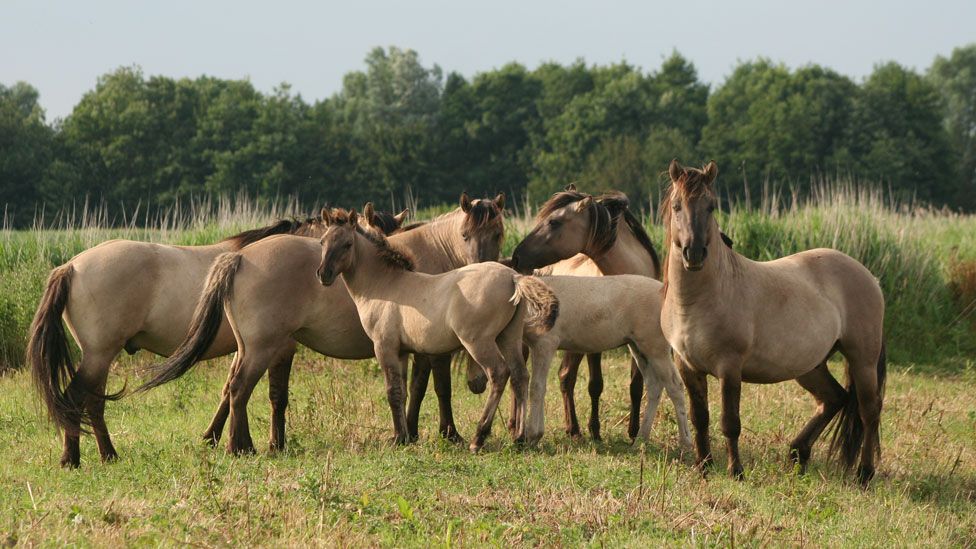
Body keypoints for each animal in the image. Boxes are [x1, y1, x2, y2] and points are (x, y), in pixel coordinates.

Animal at [28, 209, 406, 466]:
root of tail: (71, 266)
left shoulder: (248, 347)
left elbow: (228, 392)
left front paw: (213, 438)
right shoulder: (279, 346)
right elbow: (273, 396)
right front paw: (267, 444)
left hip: (102, 354)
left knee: (91, 402)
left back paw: (107, 454)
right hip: (99, 353)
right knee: (74, 398)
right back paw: (72, 457)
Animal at [137, 197, 508, 454]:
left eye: (499, 233)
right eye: (465, 234)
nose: (484, 265)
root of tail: (240, 257)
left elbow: (415, 388)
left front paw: (415, 432)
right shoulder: (430, 346)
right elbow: (434, 388)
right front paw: (445, 433)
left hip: (251, 346)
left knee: (233, 387)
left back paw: (227, 440)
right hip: (263, 346)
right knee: (240, 387)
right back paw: (240, 446)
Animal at [320, 206, 560, 450]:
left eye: (348, 244)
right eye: (322, 242)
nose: (323, 274)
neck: (384, 284)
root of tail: (513, 277)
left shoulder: (384, 347)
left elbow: (392, 391)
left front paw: (397, 438)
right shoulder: (402, 351)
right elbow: (403, 392)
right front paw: (405, 436)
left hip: (478, 342)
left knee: (499, 373)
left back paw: (479, 437)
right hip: (508, 337)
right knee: (520, 376)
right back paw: (519, 438)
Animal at [510, 188, 664, 440]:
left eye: (553, 222)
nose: (517, 257)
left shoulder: (637, 343)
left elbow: (636, 385)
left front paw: (633, 431)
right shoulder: (595, 345)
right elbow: (595, 385)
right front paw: (595, 430)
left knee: (565, 376)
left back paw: (572, 428)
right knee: (525, 377)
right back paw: (518, 425)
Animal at [664, 158, 884, 484]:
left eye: (711, 206)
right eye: (677, 206)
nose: (694, 253)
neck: (699, 299)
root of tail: (869, 277)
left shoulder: (730, 367)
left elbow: (730, 422)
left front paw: (736, 471)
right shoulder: (688, 366)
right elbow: (699, 418)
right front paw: (703, 467)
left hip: (862, 360)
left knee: (869, 410)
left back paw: (864, 474)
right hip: (810, 366)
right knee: (834, 398)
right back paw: (798, 454)